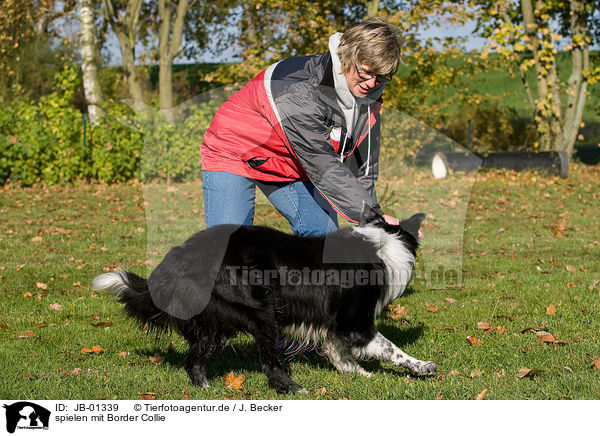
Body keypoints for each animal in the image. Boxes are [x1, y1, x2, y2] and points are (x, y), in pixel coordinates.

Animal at [92, 209, 436, 394]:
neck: (386, 242)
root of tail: (180, 256)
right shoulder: (356, 323)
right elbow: (391, 349)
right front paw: (422, 367)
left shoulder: (331, 322)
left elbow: (337, 350)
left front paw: (356, 373)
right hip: (261, 311)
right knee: (269, 363)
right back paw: (295, 388)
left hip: (217, 322)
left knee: (194, 359)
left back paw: (207, 389)